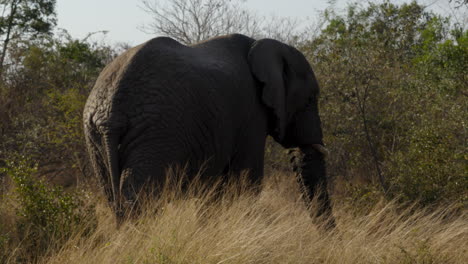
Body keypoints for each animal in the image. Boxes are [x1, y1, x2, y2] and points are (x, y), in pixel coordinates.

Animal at [83, 32, 332, 227]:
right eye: (310, 100)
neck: (260, 45)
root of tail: (110, 111)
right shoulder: (251, 113)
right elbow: (247, 181)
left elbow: (213, 190)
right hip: (157, 131)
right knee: (140, 195)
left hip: (96, 138)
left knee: (112, 195)